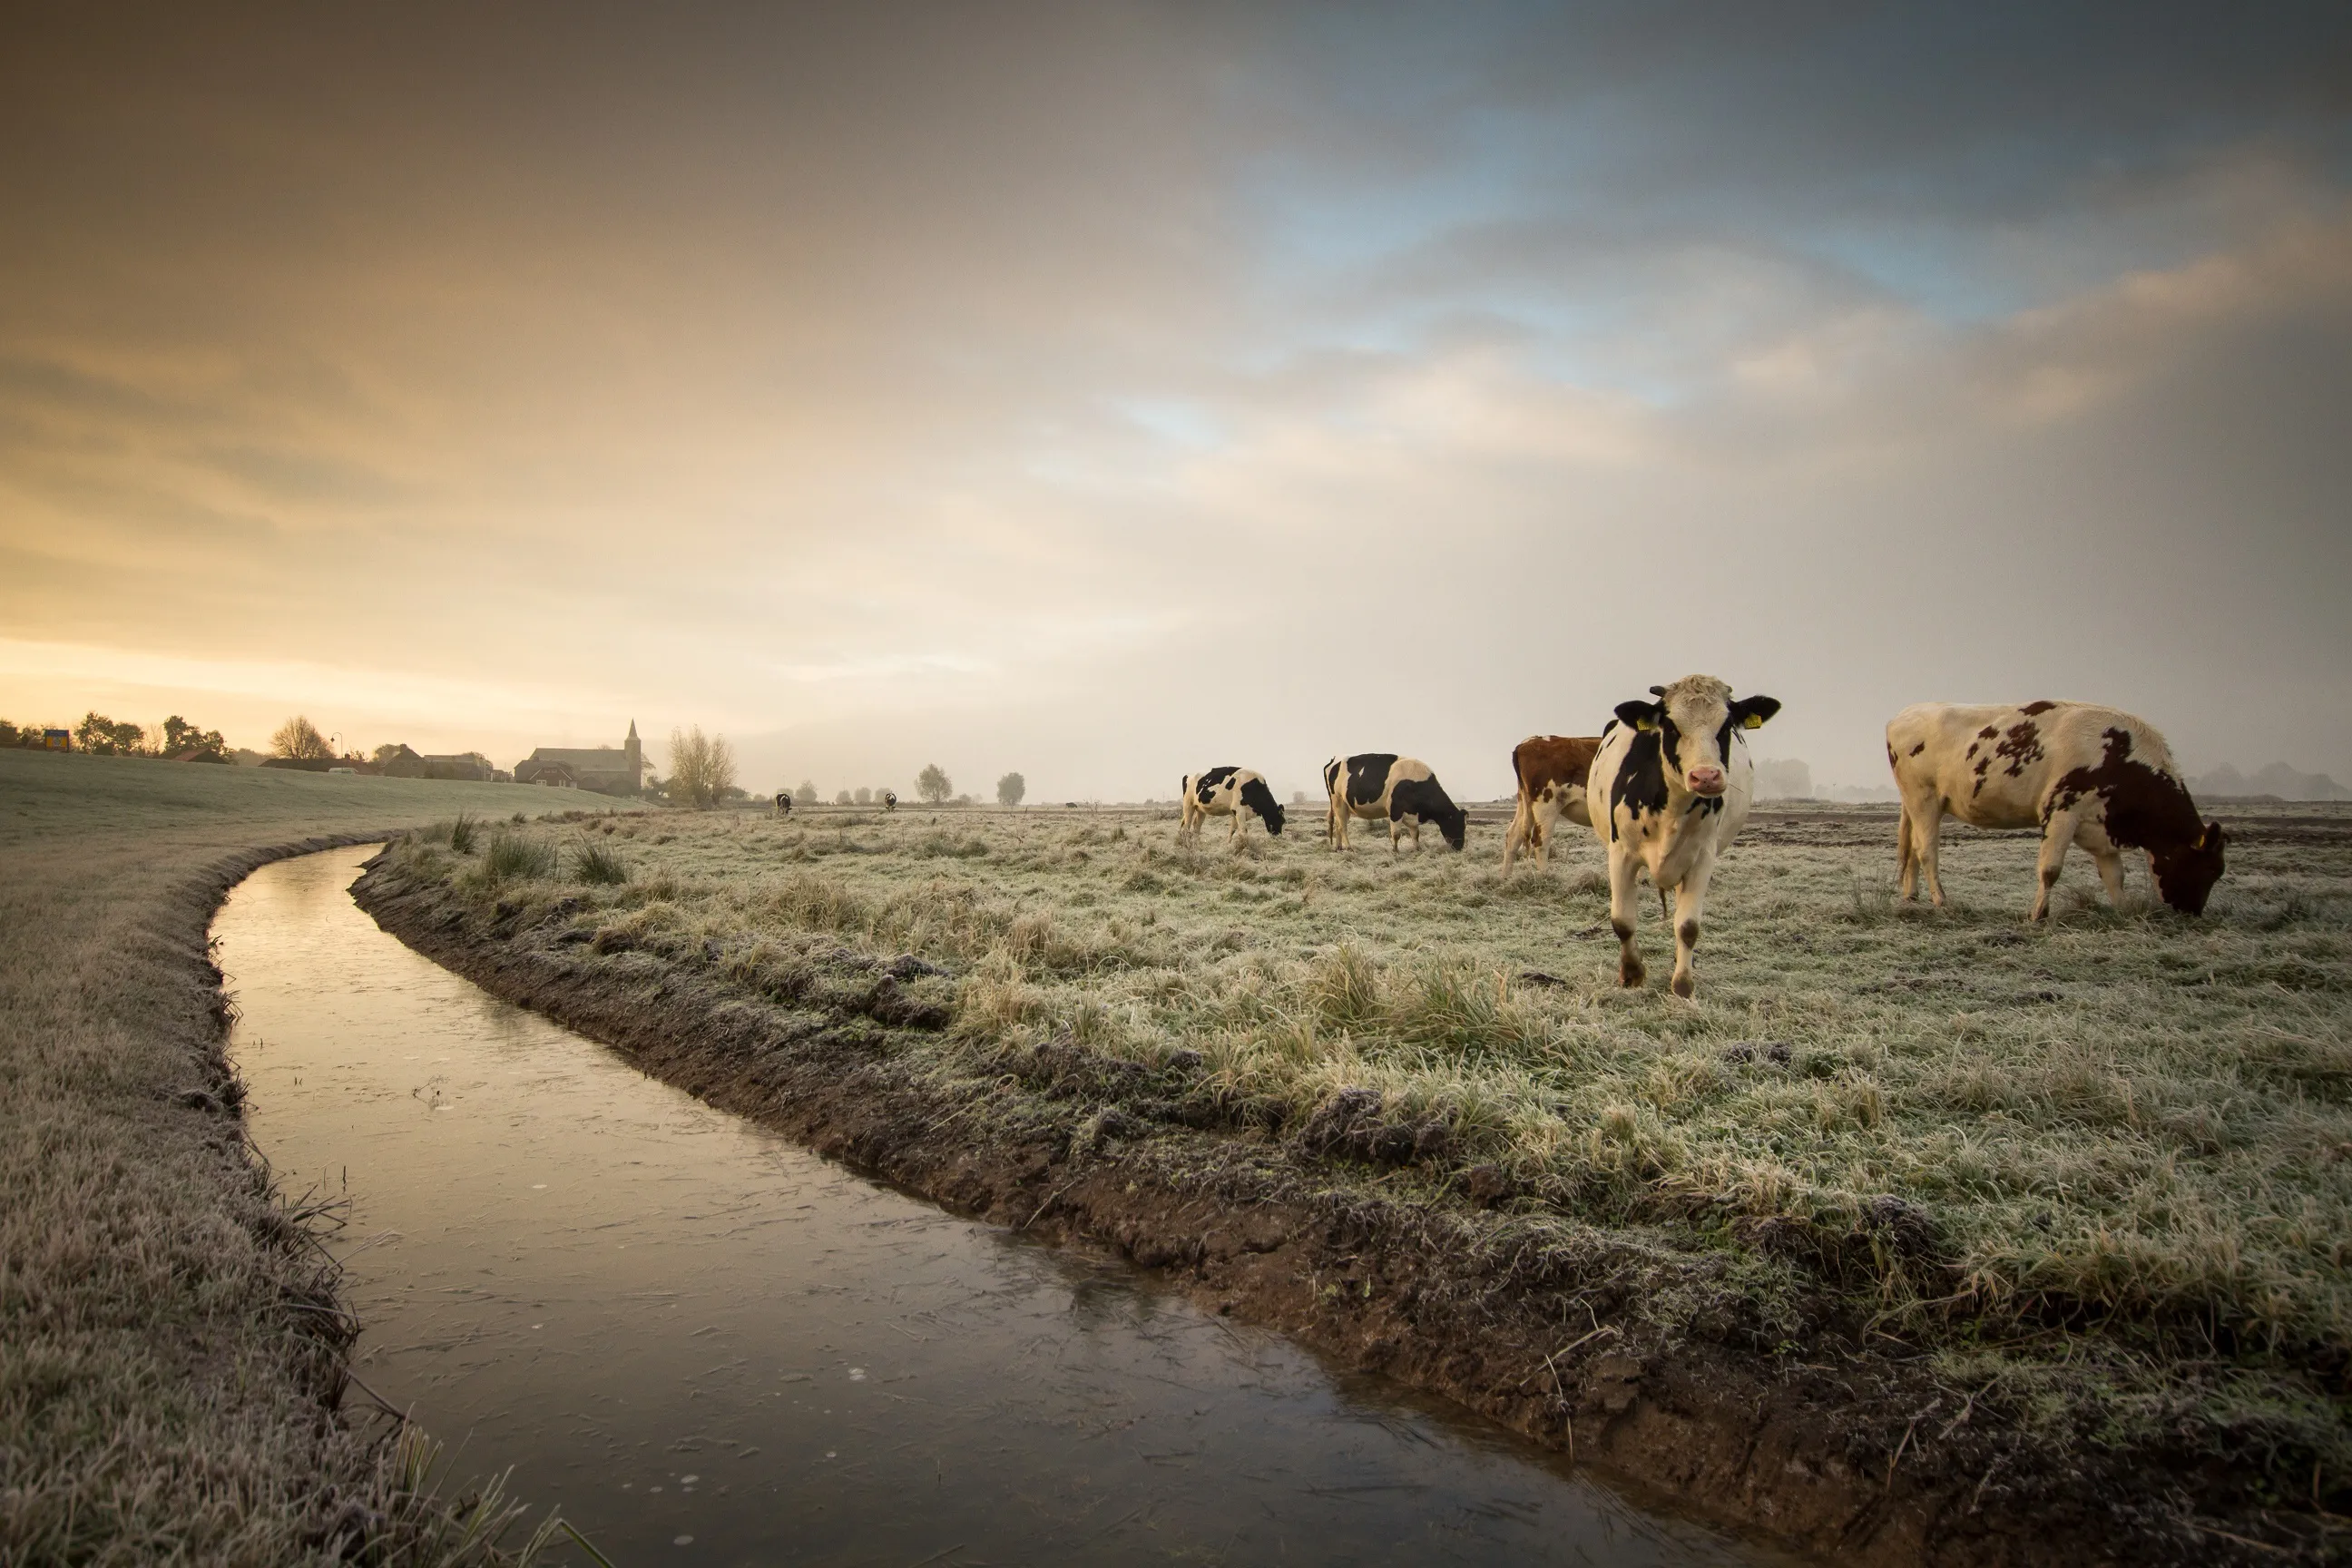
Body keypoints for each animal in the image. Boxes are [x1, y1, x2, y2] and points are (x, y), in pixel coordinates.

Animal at [1326, 752, 1467, 850]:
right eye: (1457, 825)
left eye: (1464, 826)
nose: (1459, 847)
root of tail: (1334, 760)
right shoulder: (1395, 809)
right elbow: (1396, 834)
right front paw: (1395, 851)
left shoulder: (1412, 813)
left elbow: (1415, 834)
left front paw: (1418, 849)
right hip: (1338, 800)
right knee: (1343, 827)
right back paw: (1349, 848)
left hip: (1345, 806)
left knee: (1338, 825)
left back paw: (1339, 848)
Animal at [1580, 671, 1778, 992]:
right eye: (1671, 725)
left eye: (1726, 726)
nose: (1706, 777)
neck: (1672, 805)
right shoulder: (1620, 853)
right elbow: (1622, 921)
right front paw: (1631, 973)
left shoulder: (1702, 859)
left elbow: (1687, 926)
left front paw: (1683, 985)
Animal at [1881, 701, 2230, 921]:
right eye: (2213, 869)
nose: (2192, 914)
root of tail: (1904, 714)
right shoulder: (2062, 811)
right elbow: (2050, 869)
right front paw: (2038, 915)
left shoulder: (2101, 825)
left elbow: (2114, 876)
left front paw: (2124, 911)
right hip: (1924, 799)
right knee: (1927, 851)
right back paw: (1941, 901)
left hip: (1919, 804)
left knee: (1913, 849)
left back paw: (1911, 897)